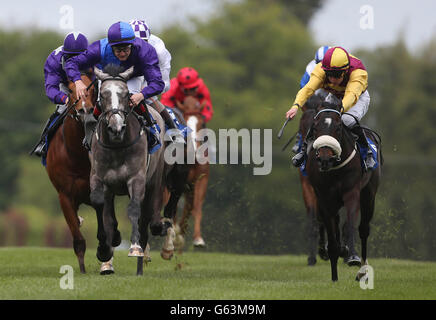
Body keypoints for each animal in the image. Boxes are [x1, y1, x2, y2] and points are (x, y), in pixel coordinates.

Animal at [44, 71, 97, 274]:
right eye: (72, 91)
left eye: (92, 89)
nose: (84, 109)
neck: (77, 156)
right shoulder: (65, 196)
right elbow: (78, 238)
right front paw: (82, 270)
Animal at [90, 65, 167, 276]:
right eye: (103, 94)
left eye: (125, 94)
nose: (116, 127)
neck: (117, 145)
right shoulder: (99, 179)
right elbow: (100, 207)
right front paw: (104, 250)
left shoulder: (136, 179)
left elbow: (134, 209)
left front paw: (134, 248)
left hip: (154, 181)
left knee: (146, 218)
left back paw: (140, 265)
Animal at [306, 101, 382, 282]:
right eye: (315, 127)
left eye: (338, 127)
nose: (325, 158)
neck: (334, 168)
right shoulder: (323, 198)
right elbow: (332, 237)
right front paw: (334, 277)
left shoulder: (351, 193)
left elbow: (350, 226)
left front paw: (352, 257)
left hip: (368, 195)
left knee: (363, 229)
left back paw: (362, 270)